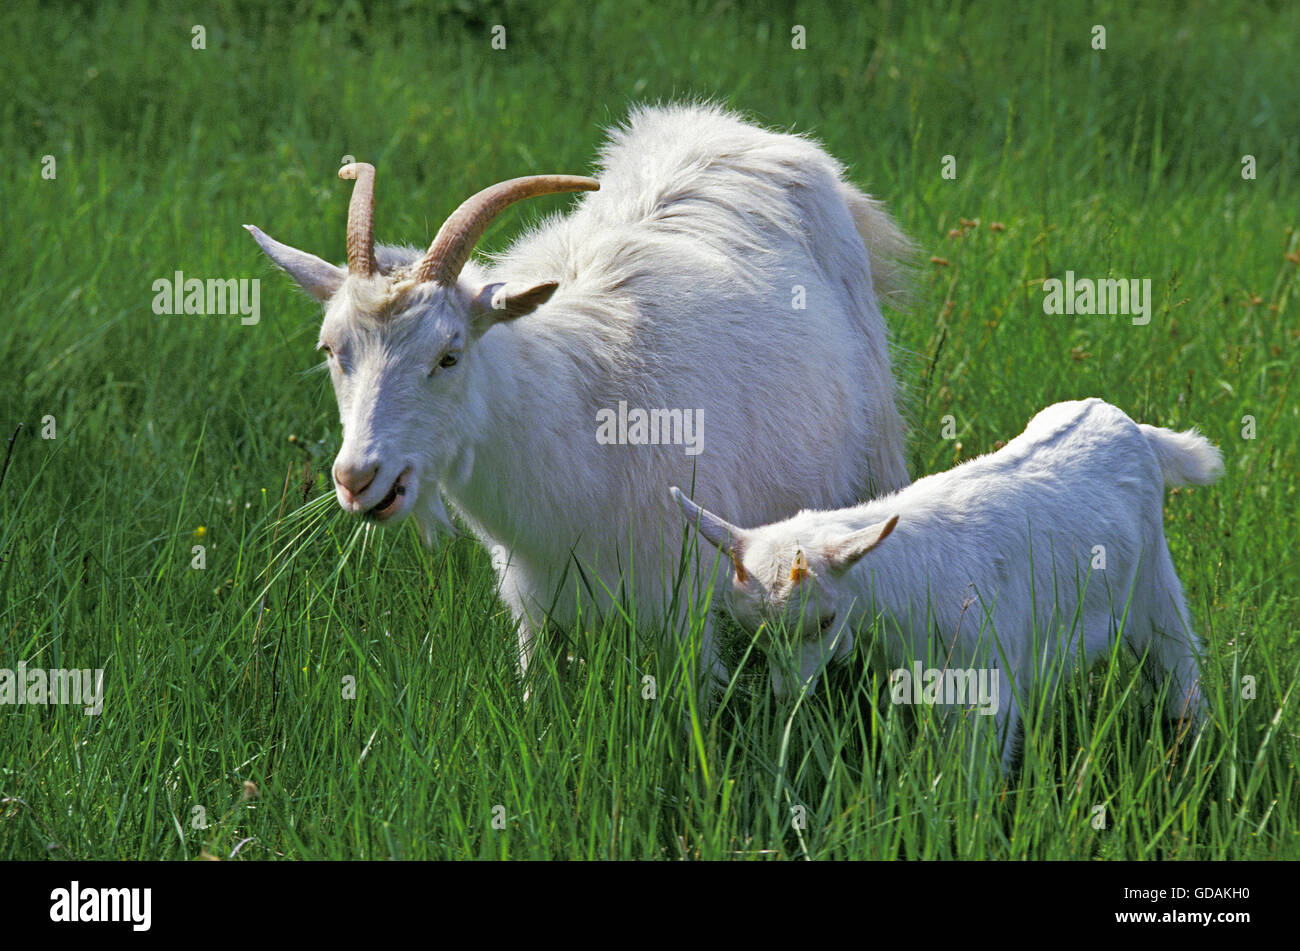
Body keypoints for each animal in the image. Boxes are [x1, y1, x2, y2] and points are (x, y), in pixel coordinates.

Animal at [245, 103, 915, 685]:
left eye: (448, 355)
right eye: (331, 351)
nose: (358, 479)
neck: (578, 415)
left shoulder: (685, 590)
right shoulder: (532, 597)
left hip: (875, 440)